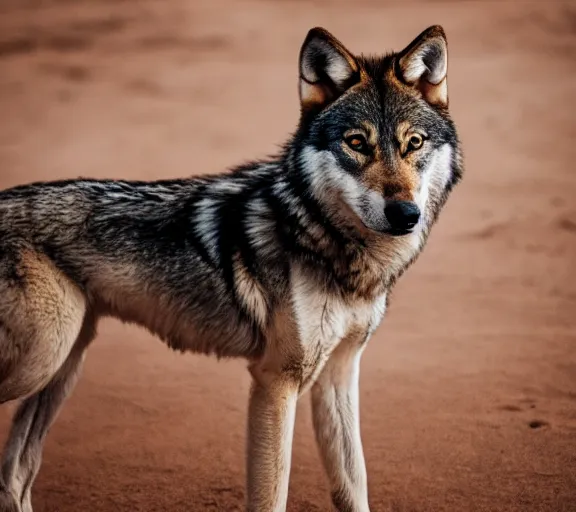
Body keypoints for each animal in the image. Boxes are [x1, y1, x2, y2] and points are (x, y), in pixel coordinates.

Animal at [0, 25, 462, 512]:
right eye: (356, 143)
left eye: (414, 144)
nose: (405, 214)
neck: (328, 243)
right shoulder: (276, 382)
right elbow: (271, 496)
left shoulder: (338, 375)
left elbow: (354, 486)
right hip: (44, 358)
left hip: (62, 366)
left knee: (16, 475)